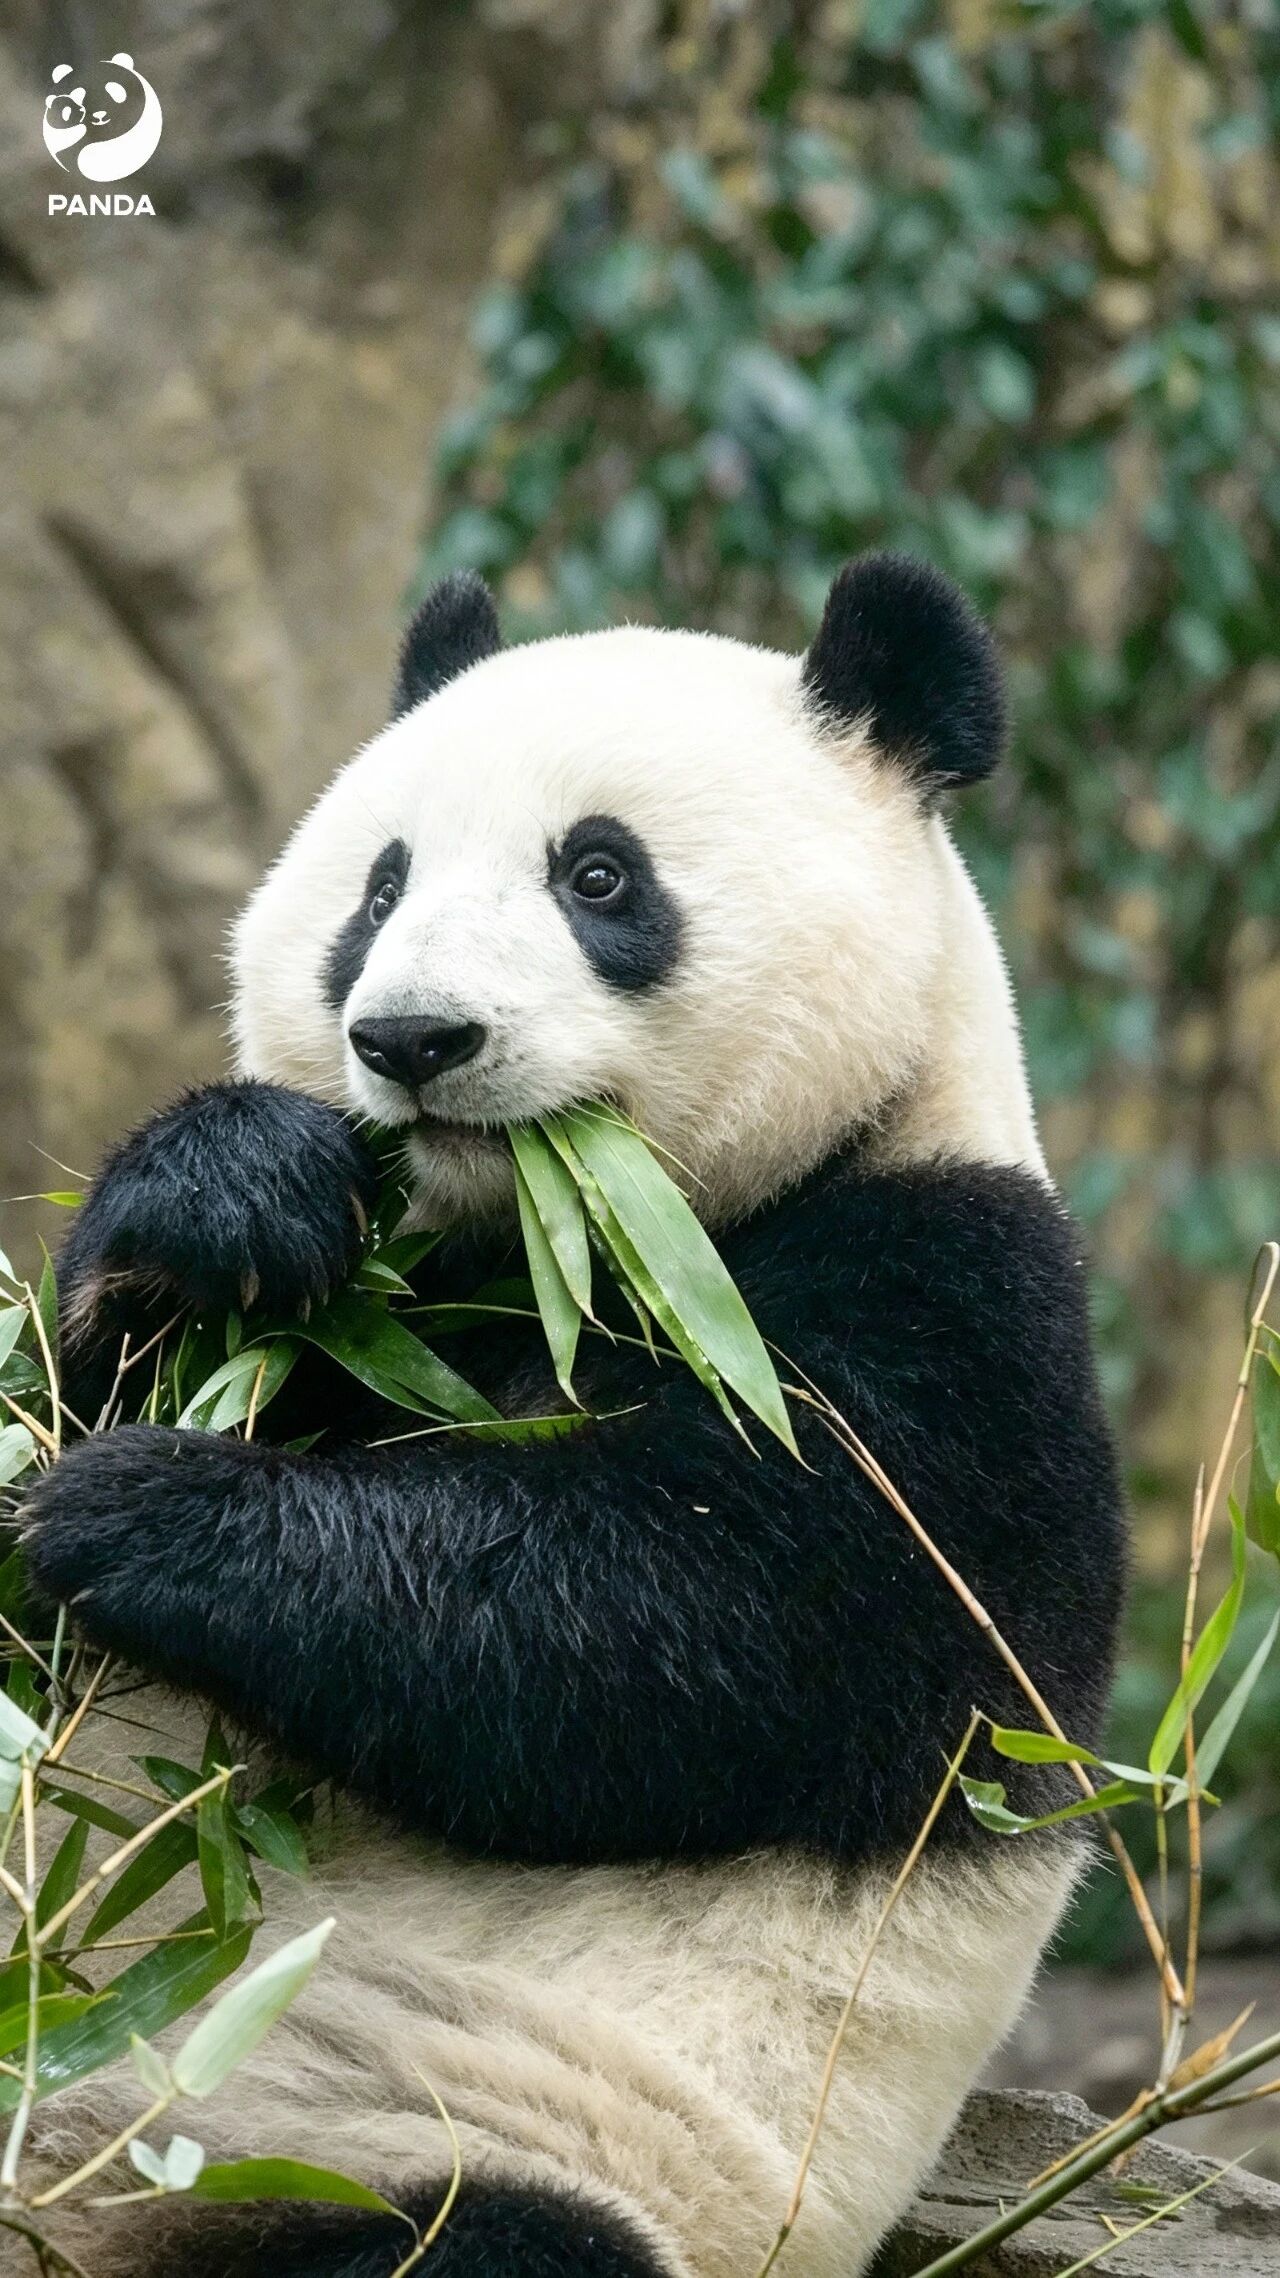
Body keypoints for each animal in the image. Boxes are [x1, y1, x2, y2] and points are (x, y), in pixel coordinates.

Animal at [23, 555, 1125, 2278]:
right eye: (379, 889)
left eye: (599, 876)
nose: (412, 1039)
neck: (563, 1240)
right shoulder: (398, 1308)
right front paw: (225, 1201)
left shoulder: (957, 1320)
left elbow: (674, 1632)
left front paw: (150, 1511)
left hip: (446, 2143)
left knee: (479, 2241)